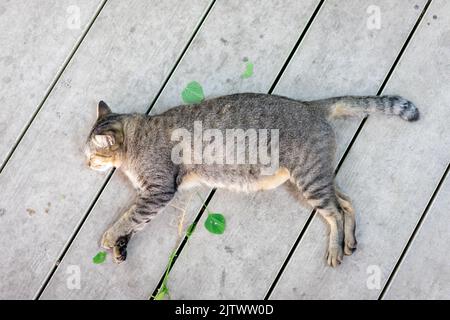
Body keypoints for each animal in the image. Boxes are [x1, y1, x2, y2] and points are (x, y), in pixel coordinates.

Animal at [85, 93, 418, 268]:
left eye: (92, 154)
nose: (86, 163)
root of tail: (310, 104)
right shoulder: (151, 195)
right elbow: (134, 221)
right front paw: (121, 245)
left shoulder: (158, 191)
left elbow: (129, 217)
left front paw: (110, 237)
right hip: (320, 177)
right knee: (346, 203)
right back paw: (348, 241)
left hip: (310, 180)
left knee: (335, 211)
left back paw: (335, 249)